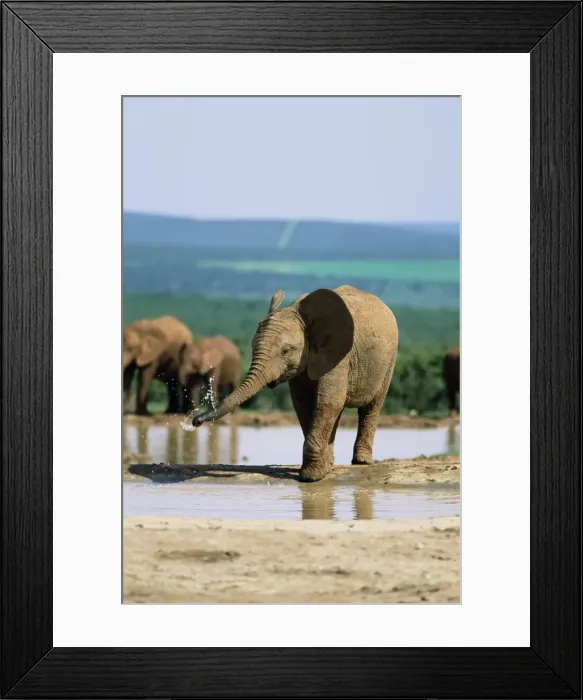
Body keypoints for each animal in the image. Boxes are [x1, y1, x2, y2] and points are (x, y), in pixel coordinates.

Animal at [193, 285, 399, 483]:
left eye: (285, 351)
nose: (195, 421)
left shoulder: (338, 355)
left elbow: (328, 401)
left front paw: (311, 477)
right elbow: (304, 403)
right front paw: (321, 470)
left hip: (389, 360)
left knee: (371, 406)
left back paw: (361, 461)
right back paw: (332, 463)